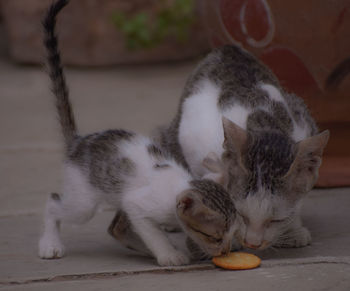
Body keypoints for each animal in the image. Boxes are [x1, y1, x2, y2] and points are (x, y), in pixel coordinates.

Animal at [37, 0, 235, 266]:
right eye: (214, 236)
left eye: (232, 233)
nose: (226, 251)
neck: (179, 185)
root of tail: (79, 142)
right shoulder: (139, 205)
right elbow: (153, 233)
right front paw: (169, 255)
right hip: (83, 201)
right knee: (54, 202)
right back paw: (50, 244)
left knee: (114, 228)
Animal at [157, 45, 330, 251]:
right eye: (241, 214)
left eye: (276, 220)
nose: (252, 243)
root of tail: (229, 49)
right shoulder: (193, 135)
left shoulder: (304, 122)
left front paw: (293, 229)